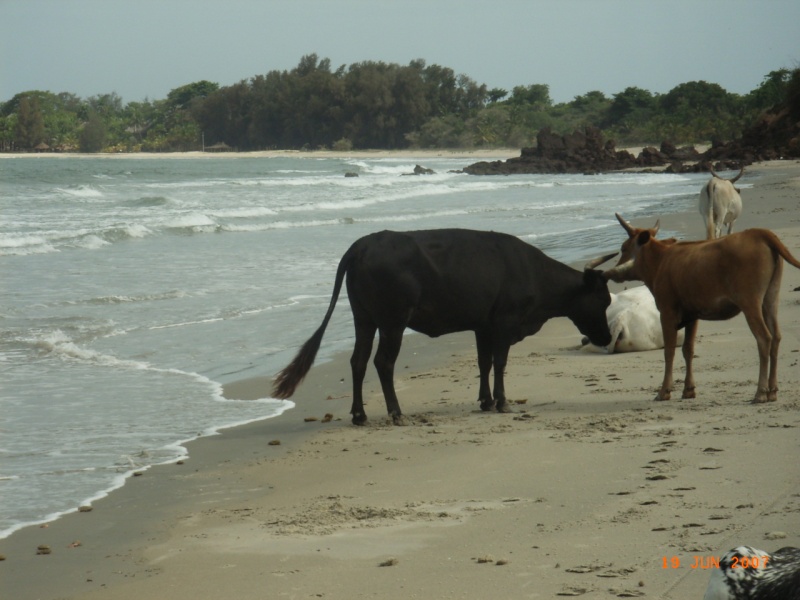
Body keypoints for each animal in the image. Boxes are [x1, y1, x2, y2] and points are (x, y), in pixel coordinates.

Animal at [272, 227, 608, 424]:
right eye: (603, 299)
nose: (605, 338)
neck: (532, 272)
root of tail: (362, 245)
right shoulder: (505, 322)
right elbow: (500, 362)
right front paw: (502, 402)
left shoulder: (483, 325)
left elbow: (484, 361)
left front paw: (486, 401)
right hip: (393, 321)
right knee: (383, 362)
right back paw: (396, 413)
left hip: (364, 319)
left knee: (358, 361)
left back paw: (360, 415)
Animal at [596, 213, 800, 406]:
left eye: (623, 248)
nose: (612, 271)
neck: (661, 262)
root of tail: (759, 232)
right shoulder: (692, 315)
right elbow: (688, 350)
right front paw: (688, 389)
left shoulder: (667, 312)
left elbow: (669, 351)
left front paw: (664, 391)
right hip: (771, 298)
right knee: (776, 336)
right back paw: (773, 391)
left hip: (750, 301)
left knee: (764, 338)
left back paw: (760, 393)